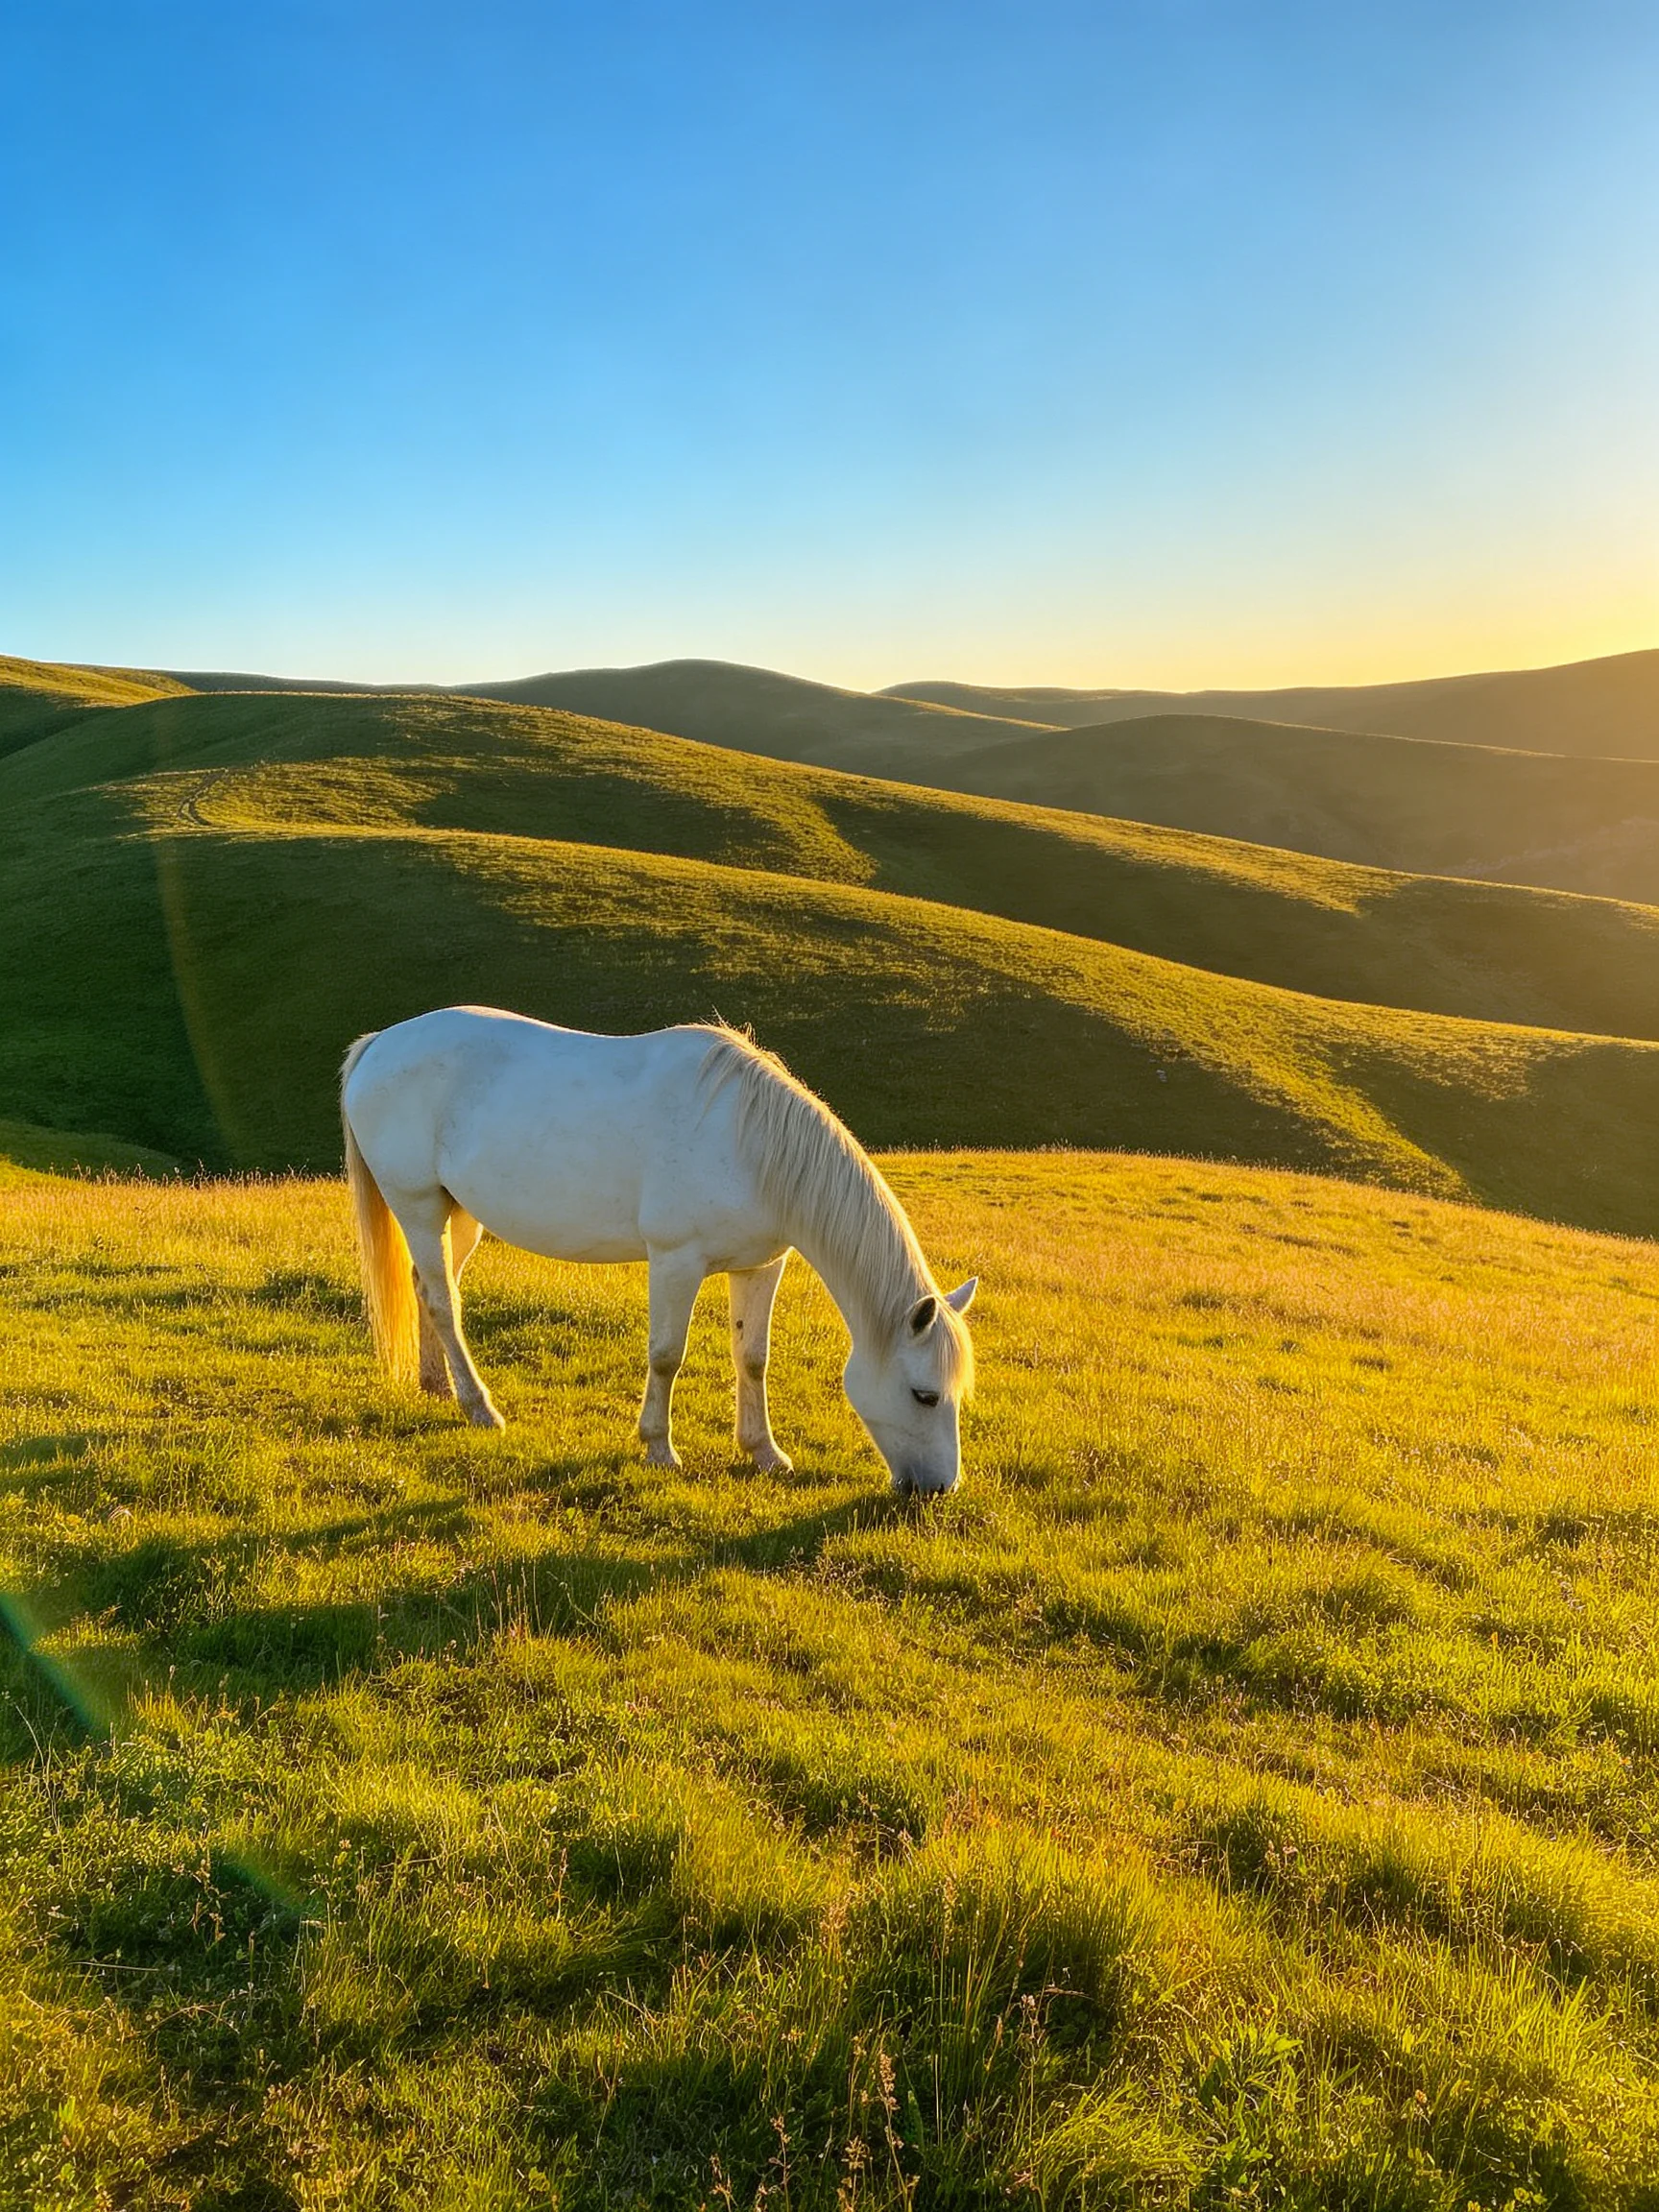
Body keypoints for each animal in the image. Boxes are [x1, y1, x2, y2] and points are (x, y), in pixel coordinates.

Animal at [340, 1006, 977, 1494]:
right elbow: (668, 1354)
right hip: (418, 1206)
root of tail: (379, 1044)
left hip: (460, 1217)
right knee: (444, 1302)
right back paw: (479, 1407)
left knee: (428, 1287)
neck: (750, 1144)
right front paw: (658, 1448)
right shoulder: (676, 1260)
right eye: (924, 1396)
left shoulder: (760, 1266)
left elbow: (753, 1357)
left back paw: (437, 1385)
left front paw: (764, 1452)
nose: (938, 1489)